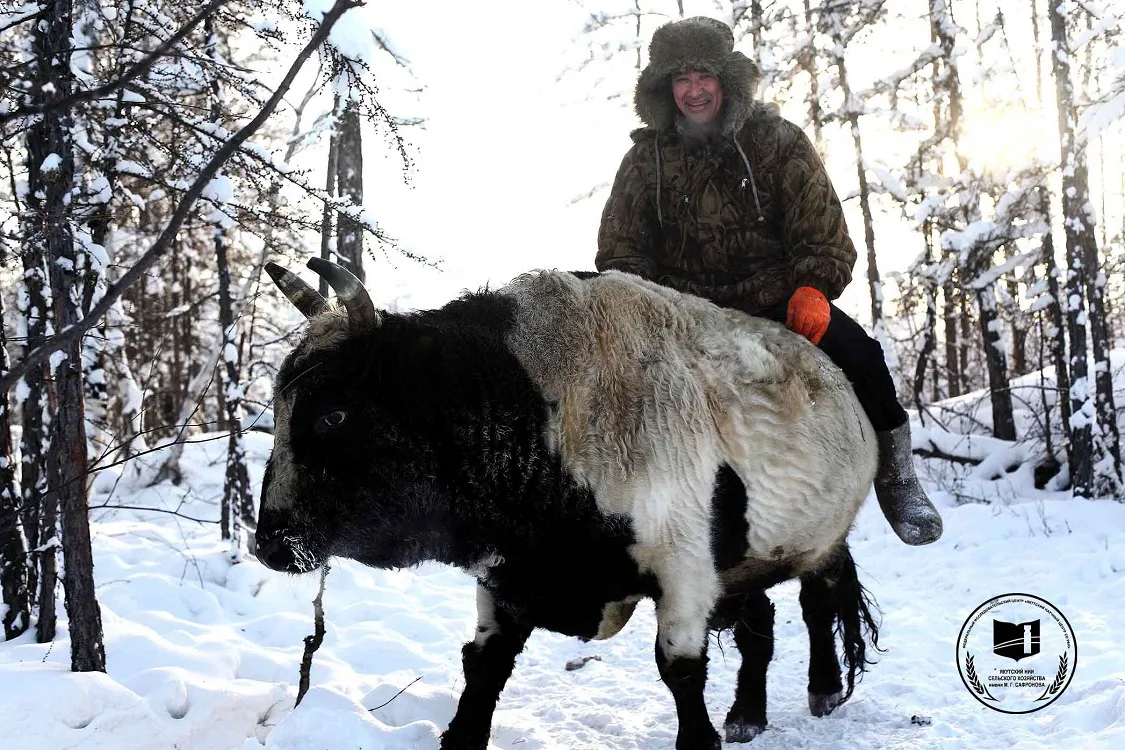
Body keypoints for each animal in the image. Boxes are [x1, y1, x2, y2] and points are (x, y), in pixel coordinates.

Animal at [253, 259, 877, 750]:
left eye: (333, 415)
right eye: (278, 410)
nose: (270, 544)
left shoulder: (685, 570)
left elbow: (680, 670)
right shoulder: (506, 574)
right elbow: (484, 665)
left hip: (819, 542)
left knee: (819, 601)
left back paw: (823, 688)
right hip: (747, 564)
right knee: (760, 621)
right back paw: (748, 713)